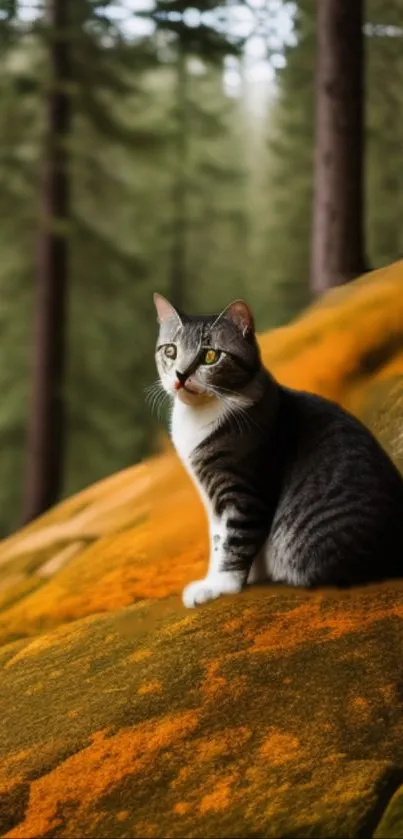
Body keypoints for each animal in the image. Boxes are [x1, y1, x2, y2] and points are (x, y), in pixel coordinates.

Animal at [152, 292, 403, 608]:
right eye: (170, 351)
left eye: (210, 356)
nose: (180, 375)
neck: (198, 415)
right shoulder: (212, 498)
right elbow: (218, 538)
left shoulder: (244, 491)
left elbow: (233, 540)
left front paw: (219, 586)